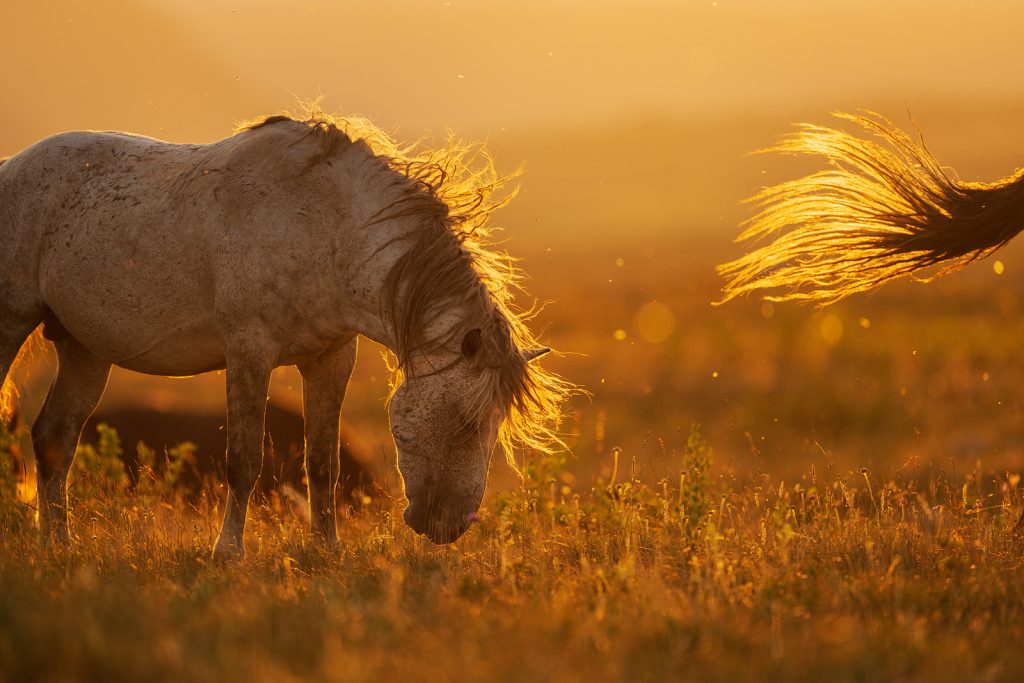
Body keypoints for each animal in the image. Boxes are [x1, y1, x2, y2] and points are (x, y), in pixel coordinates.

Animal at [0, 111, 569, 558]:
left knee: (53, 440)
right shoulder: (249, 352)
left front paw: (327, 548)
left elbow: (322, 463)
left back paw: (60, 545)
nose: (448, 528)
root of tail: (12, 166)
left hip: (85, 350)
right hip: (12, 324)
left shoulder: (331, 358)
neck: (322, 226)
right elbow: (245, 460)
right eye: (467, 422)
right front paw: (228, 552)